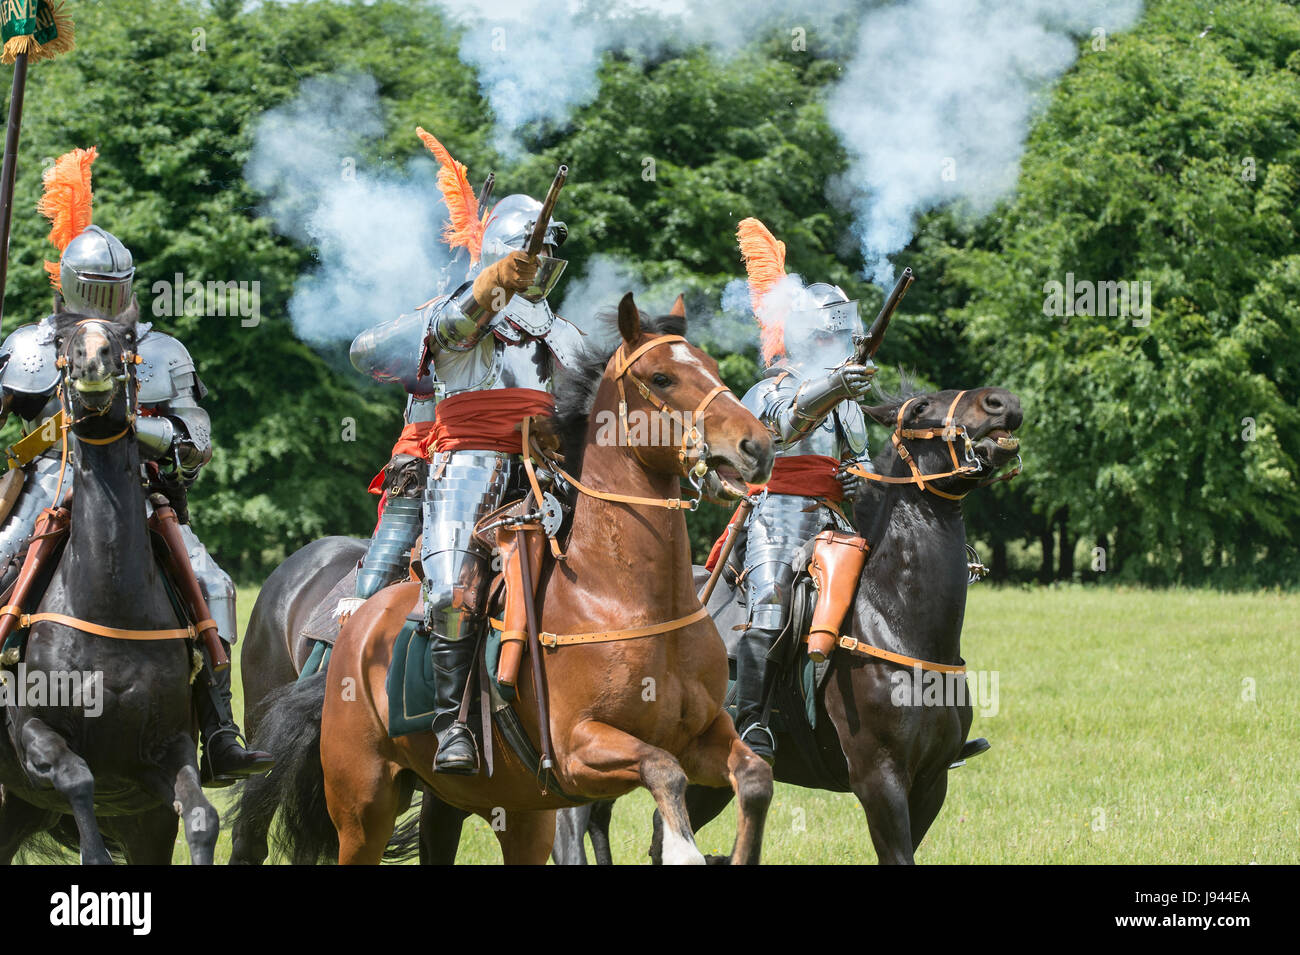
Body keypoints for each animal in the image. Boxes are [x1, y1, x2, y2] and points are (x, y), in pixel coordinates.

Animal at [0, 314, 217, 867]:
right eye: (62, 342)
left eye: (126, 341)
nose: (92, 362)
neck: (110, 606)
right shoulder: (36, 740)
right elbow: (78, 780)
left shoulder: (166, 757)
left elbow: (202, 817)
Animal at [240, 293, 774, 867]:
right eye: (662, 377)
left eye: (712, 367)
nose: (757, 446)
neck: (623, 599)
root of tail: (359, 624)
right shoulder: (579, 750)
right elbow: (662, 770)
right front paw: (681, 848)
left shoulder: (704, 735)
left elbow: (755, 777)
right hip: (361, 806)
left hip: (503, 810)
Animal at [553, 382, 1019, 867]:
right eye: (922, 407)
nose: (1002, 403)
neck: (898, 625)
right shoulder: (880, 779)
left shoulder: (931, 783)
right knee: (574, 822)